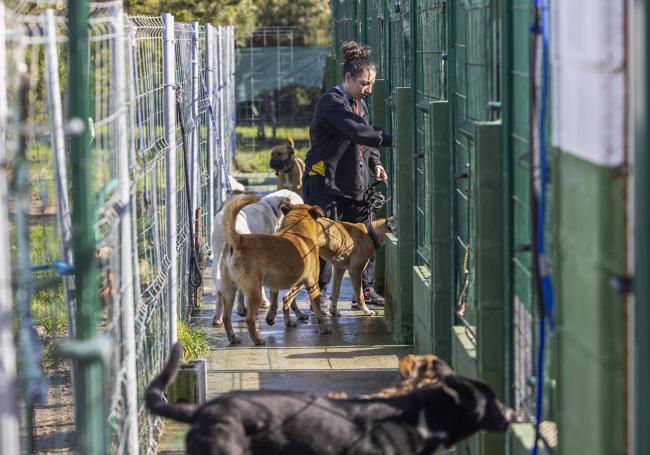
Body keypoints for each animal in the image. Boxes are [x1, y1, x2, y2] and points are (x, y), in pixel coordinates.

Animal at [220, 196, 330, 346]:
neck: (296, 231)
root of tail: (239, 240)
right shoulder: (312, 283)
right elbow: (317, 310)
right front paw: (324, 328)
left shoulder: (279, 284)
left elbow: (279, 301)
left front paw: (275, 318)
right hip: (255, 292)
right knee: (249, 318)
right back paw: (257, 339)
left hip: (229, 291)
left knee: (226, 317)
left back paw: (233, 338)